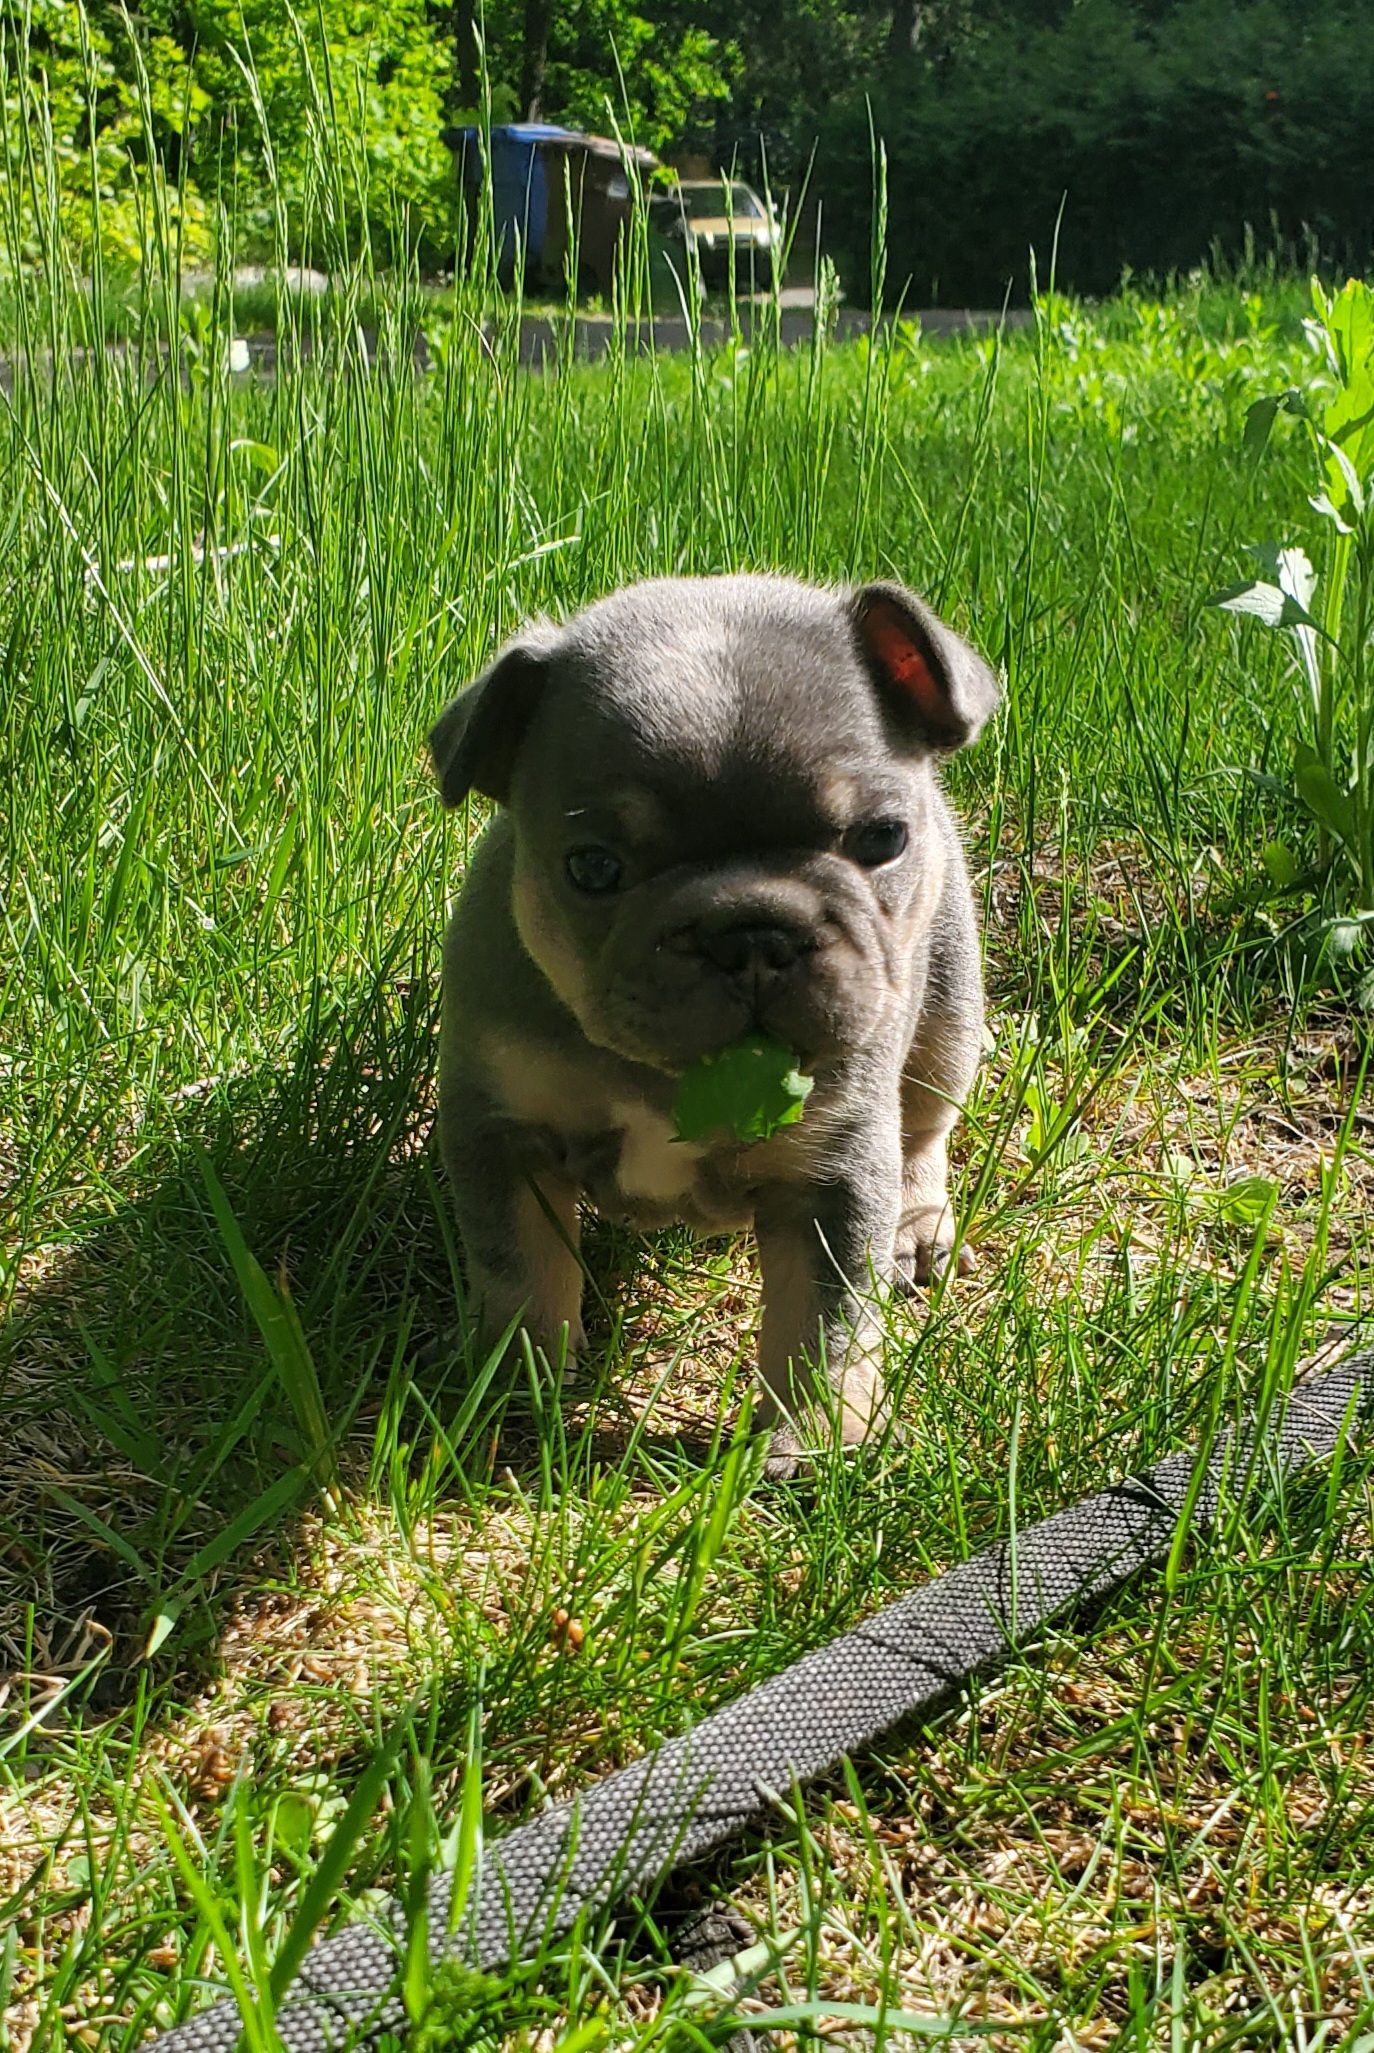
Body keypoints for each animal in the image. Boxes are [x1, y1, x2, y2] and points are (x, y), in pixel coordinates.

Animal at [429, 578, 998, 1469]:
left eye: (882, 838)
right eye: (593, 868)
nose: (751, 933)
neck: (669, 1077)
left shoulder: (831, 1172)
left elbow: (823, 1318)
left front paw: (815, 1433)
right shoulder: (503, 1130)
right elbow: (520, 1267)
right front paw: (516, 1382)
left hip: (947, 1010)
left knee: (924, 1126)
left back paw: (917, 1226)